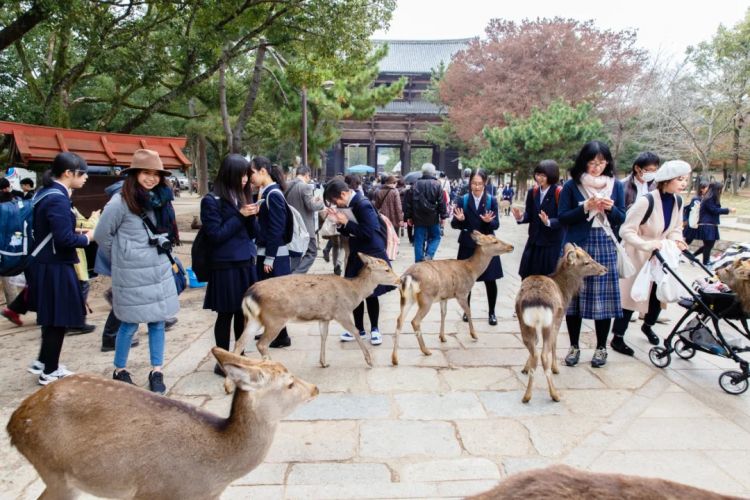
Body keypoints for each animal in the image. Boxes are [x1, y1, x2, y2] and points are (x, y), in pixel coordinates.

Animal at [234, 252, 400, 374]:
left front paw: (323, 363)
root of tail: (249, 295)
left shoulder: (324, 317)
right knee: (261, 344)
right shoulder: (341, 312)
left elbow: (323, 336)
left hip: (254, 319)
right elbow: (356, 331)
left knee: (240, 342)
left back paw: (230, 384)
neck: (354, 292)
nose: (399, 280)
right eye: (387, 269)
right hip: (274, 319)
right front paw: (370, 361)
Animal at [390, 232, 516, 366]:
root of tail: (408, 276)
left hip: (406, 298)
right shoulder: (461, 293)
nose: (511, 246)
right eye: (494, 241)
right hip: (426, 298)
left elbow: (443, 314)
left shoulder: (444, 297)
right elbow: (468, 311)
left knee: (399, 320)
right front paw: (474, 335)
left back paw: (395, 359)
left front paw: (442, 337)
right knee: (415, 321)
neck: (472, 271)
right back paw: (426, 350)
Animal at [516, 244, 612, 404]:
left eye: (591, 256)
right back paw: (554, 394)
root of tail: (535, 300)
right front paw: (556, 368)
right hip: (548, 323)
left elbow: (535, 345)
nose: (605, 269)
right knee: (543, 355)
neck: (565, 290)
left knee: (535, 353)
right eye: (586, 262)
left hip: (523, 322)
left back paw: (526, 396)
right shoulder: (558, 318)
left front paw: (524, 368)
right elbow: (554, 344)